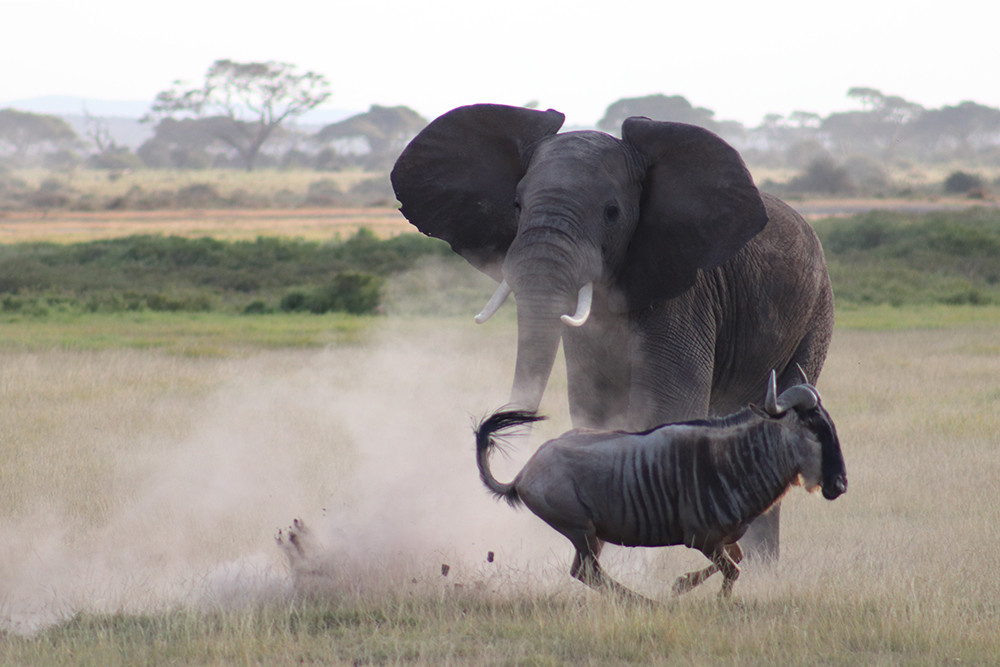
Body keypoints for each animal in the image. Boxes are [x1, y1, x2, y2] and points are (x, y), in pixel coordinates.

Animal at [390, 103, 834, 559]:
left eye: (611, 213)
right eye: (516, 204)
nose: (506, 426)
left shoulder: (686, 289)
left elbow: (666, 405)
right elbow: (595, 407)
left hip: (816, 315)